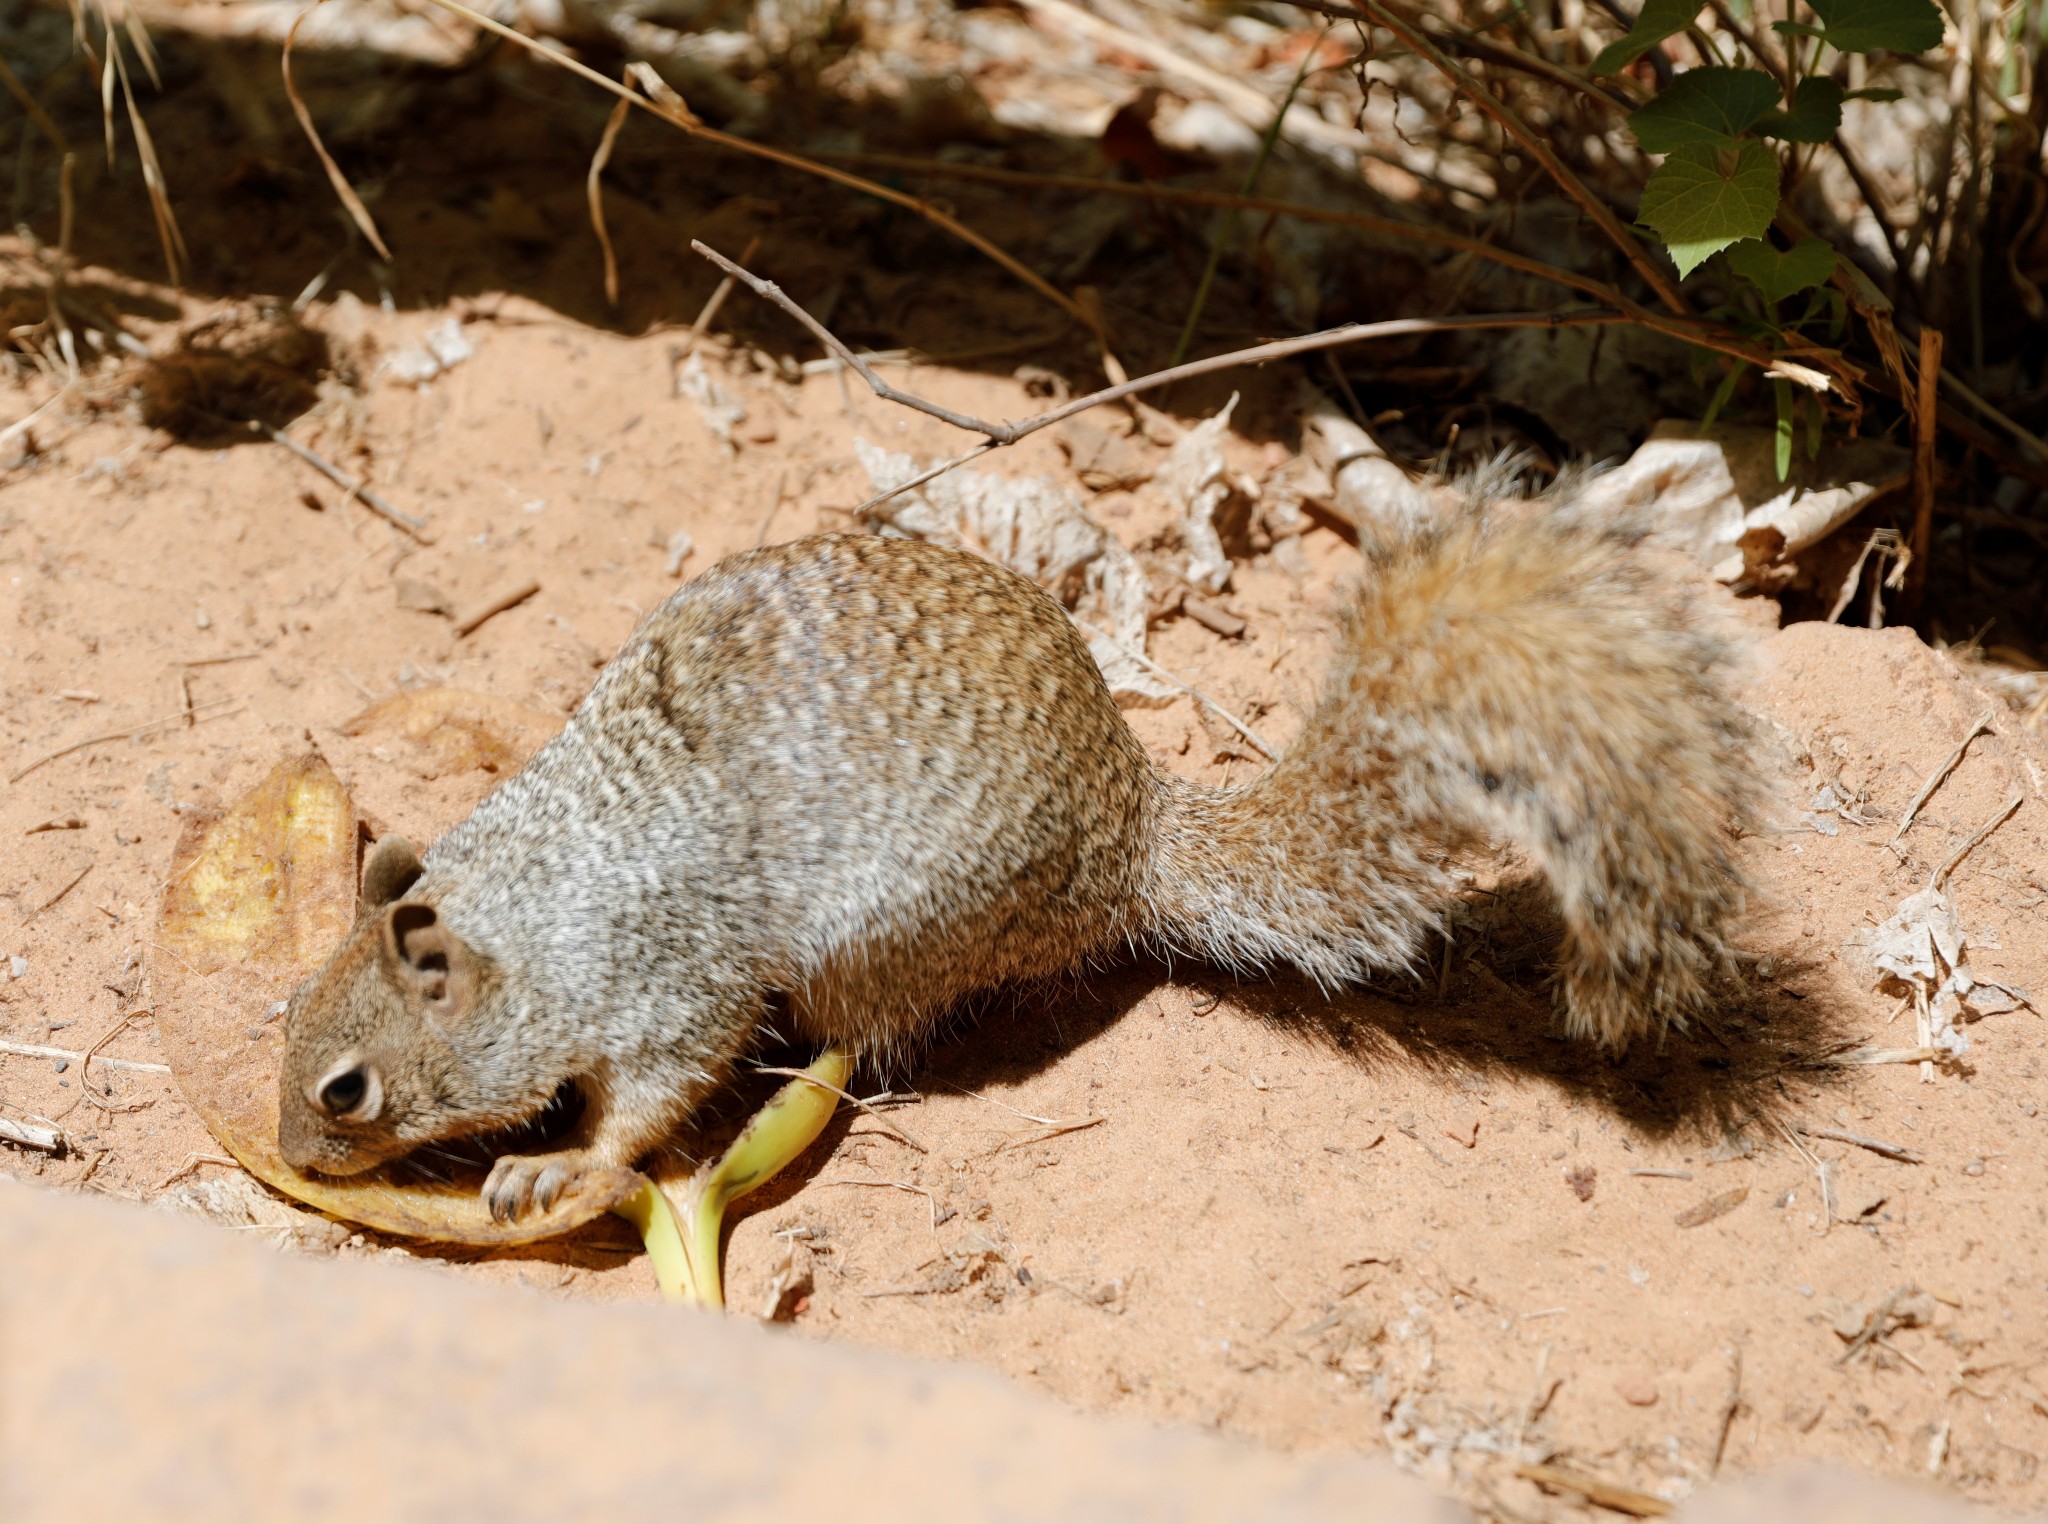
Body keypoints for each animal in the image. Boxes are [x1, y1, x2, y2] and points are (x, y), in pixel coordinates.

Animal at [280, 514, 1761, 1229]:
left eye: (346, 1090)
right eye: (283, 1008)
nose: (293, 1156)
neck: (533, 912)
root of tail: (1129, 836)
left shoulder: (668, 976)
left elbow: (652, 1098)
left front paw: (563, 1172)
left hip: (881, 936)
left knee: (860, 1042)